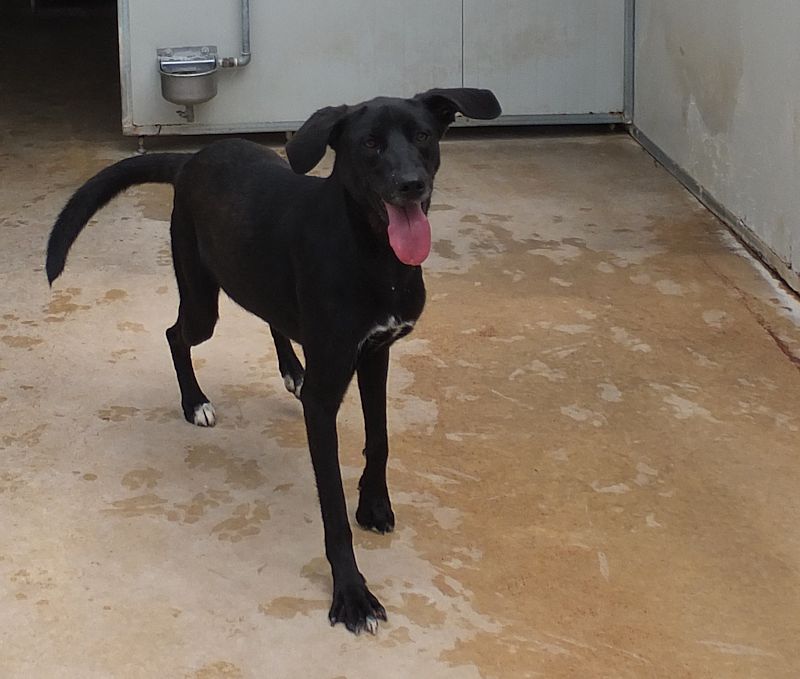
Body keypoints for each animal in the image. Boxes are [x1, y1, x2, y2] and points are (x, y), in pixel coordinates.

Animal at [46, 88, 501, 634]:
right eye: (369, 143)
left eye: (423, 136)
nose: (411, 185)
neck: (373, 255)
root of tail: (192, 158)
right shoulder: (325, 400)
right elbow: (332, 507)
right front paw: (352, 593)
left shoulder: (376, 356)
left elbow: (380, 440)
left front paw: (373, 503)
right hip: (203, 302)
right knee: (176, 334)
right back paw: (194, 401)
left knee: (269, 319)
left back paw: (290, 371)